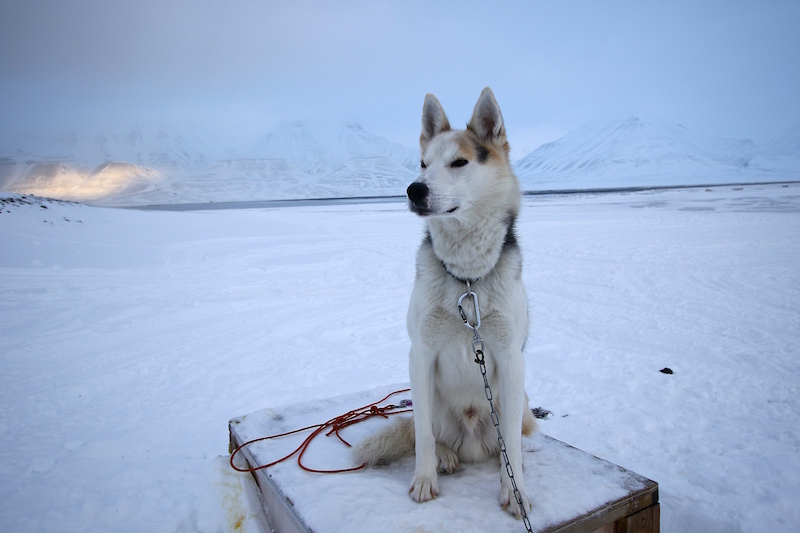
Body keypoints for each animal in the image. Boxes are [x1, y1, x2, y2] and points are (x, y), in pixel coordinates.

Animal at [358, 87, 536, 516]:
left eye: (459, 162)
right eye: (422, 164)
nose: (414, 189)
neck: (467, 278)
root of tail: (472, 443)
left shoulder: (511, 359)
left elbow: (512, 446)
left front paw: (515, 491)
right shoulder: (419, 355)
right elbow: (422, 434)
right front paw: (424, 479)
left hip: (520, 401)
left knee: (508, 442)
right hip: (430, 401)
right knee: (427, 432)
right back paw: (445, 455)